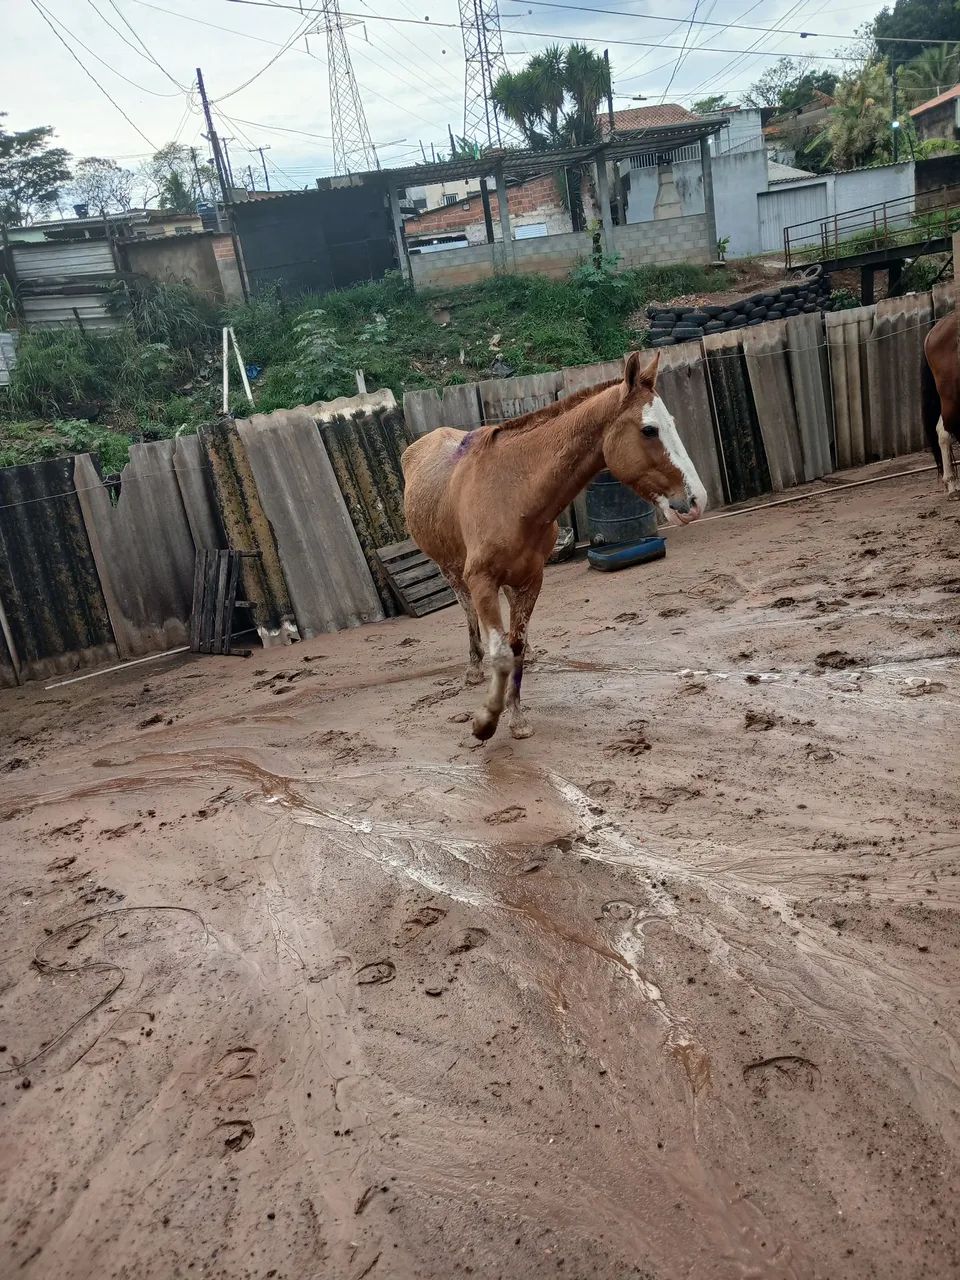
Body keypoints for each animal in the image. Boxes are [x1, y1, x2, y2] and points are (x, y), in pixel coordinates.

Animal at [401, 350, 707, 743]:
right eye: (649, 430)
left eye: (670, 422)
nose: (696, 500)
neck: (512, 492)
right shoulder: (480, 580)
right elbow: (501, 653)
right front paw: (486, 721)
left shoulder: (532, 579)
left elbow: (514, 649)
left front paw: (516, 718)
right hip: (451, 571)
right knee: (467, 612)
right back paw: (473, 667)